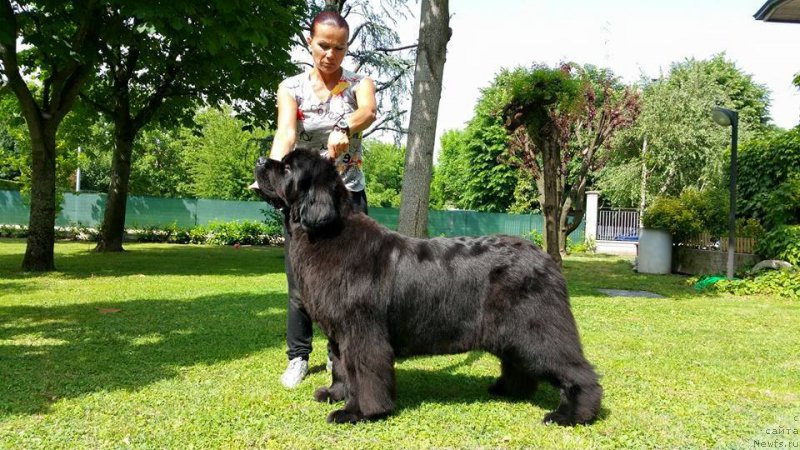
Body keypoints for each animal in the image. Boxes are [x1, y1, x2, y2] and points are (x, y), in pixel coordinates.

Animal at [255, 150, 600, 426]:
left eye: (288, 168)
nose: (260, 160)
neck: (326, 232)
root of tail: (545, 257)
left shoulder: (362, 331)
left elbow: (363, 373)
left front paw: (358, 412)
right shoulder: (339, 333)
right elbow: (341, 367)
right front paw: (335, 394)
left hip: (538, 329)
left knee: (577, 370)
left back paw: (573, 414)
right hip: (513, 333)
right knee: (519, 362)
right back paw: (508, 390)